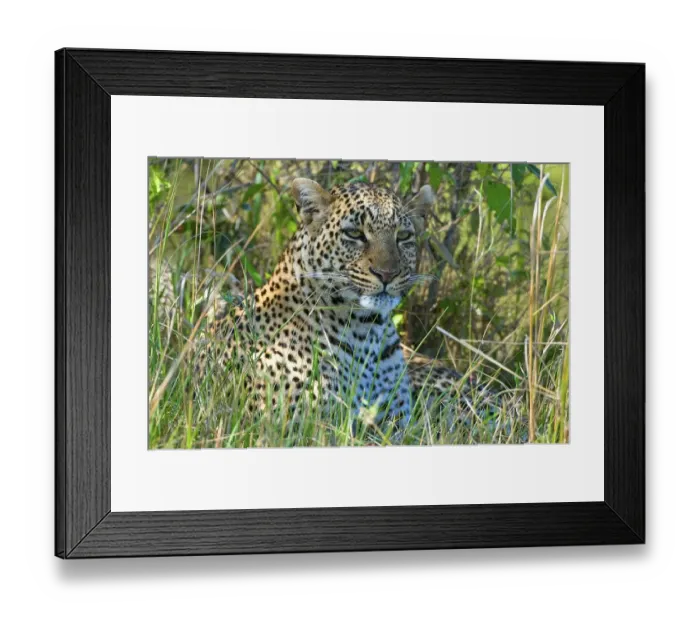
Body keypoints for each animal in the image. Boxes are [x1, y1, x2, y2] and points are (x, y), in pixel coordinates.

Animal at [193, 178, 481, 433]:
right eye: (355, 234)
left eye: (404, 236)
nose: (387, 274)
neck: (367, 330)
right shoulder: (299, 428)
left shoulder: (396, 425)